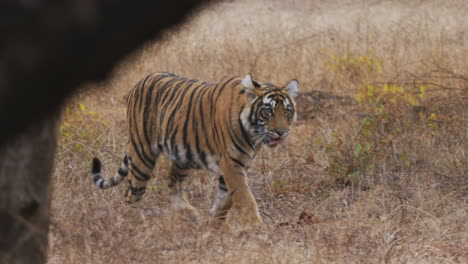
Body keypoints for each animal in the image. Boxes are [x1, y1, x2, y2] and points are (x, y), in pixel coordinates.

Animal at [89, 71, 298, 225]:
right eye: (268, 111)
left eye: (287, 111)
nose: (281, 132)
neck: (253, 132)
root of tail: (139, 82)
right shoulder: (231, 163)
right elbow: (244, 196)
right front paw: (256, 227)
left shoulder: (239, 162)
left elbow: (227, 198)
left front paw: (215, 223)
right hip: (143, 151)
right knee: (134, 192)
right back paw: (135, 224)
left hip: (182, 153)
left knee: (172, 182)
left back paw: (187, 212)